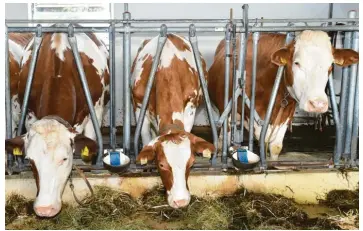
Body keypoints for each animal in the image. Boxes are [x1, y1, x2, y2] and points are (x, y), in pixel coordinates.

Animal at [132, 33, 215, 208]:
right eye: (162, 164)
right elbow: (145, 137)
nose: (181, 201)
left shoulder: (191, 106)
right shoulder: (138, 105)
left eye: (191, 162)